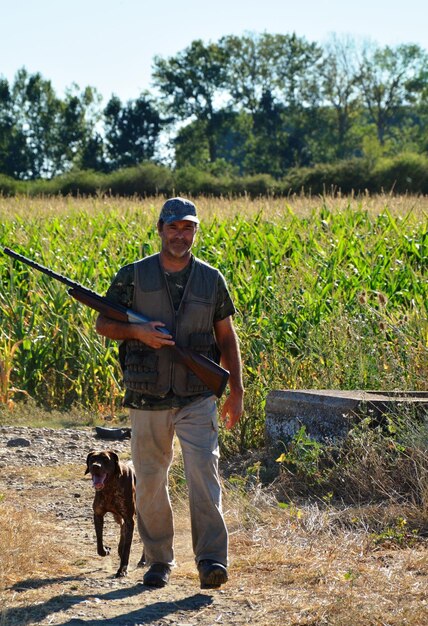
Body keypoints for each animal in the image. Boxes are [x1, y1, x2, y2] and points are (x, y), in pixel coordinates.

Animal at [86, 448, 145, 576]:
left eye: (105, 459)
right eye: (92, 459)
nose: (95, 466)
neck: (109, 486)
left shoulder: (130, 520)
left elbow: (127, 548)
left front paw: (122, 569)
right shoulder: (98, 515)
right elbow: (99, 543)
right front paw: (105, 550)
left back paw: (143, 560)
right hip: (118, 518)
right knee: (122, 527)